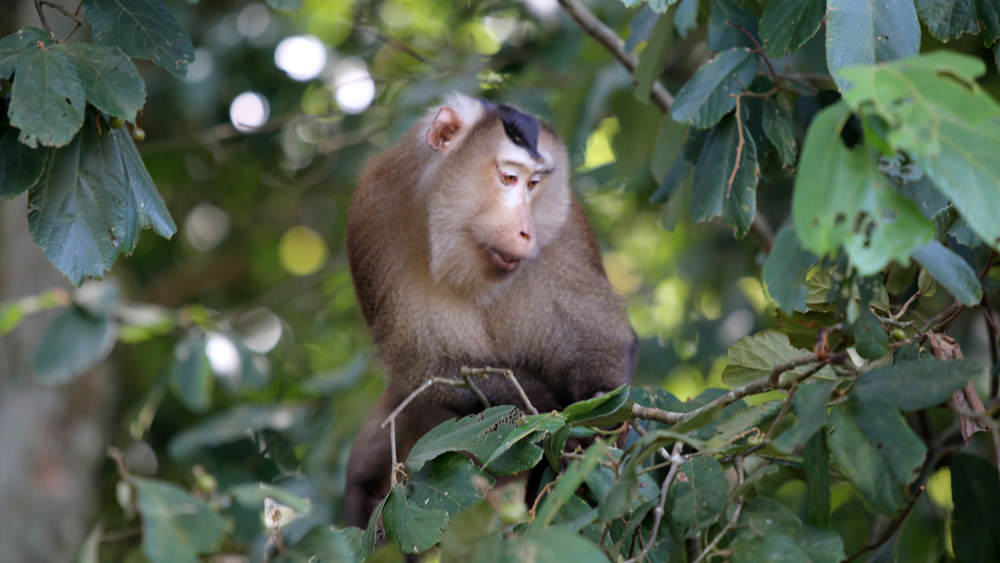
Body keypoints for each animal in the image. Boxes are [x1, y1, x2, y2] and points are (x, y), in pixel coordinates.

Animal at [344, 92, 640, 528]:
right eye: (509, 178)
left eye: (534, 184)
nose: (526, 231)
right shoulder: (375, 217)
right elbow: (431, 367)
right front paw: (553, 411)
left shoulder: (562, 230)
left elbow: (599, 335)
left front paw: (599, 411)